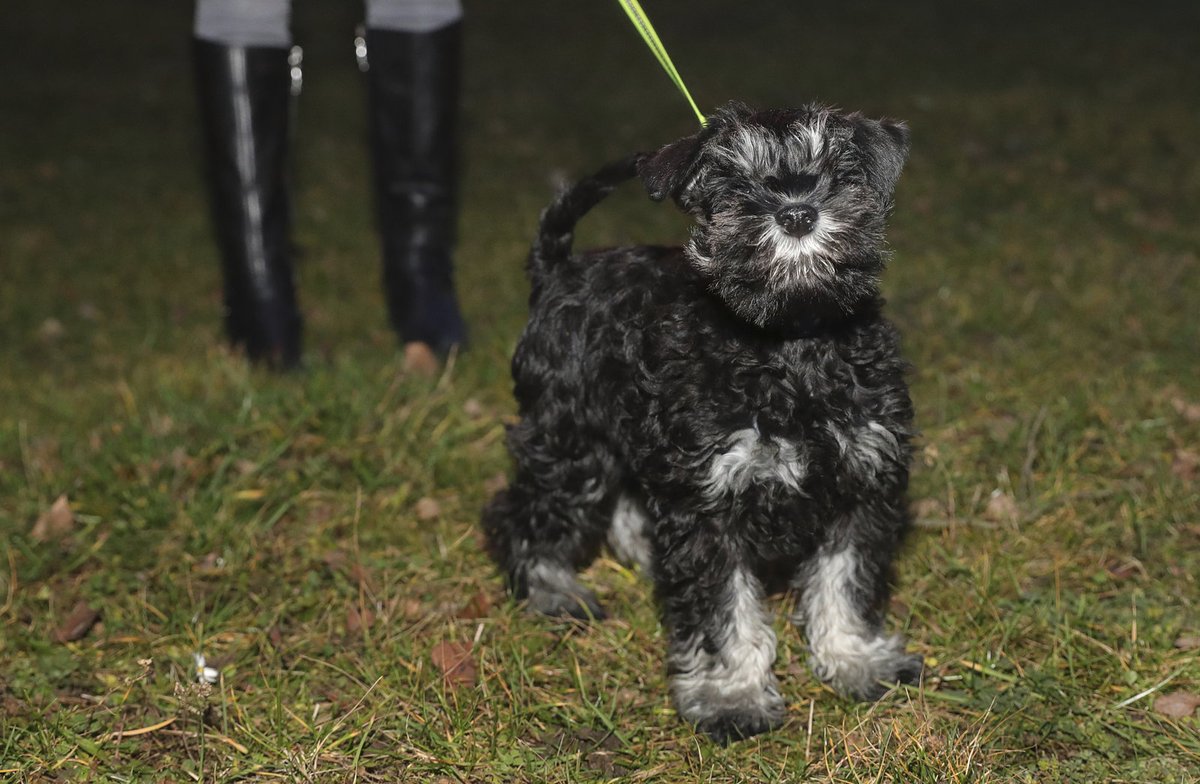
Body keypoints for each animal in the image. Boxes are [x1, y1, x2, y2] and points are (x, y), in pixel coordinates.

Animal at [482, 102, 921, 739]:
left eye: (838, 172)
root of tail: (556, 271)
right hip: (572, 444)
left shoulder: (862, 485)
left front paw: (856, 660)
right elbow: (724, 611)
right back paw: (552, 591)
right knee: (520, 512)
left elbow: (845, 583)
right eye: (731, 182)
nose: (796, 212)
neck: (790, 345)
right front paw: (730, 696)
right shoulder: (710, 507)